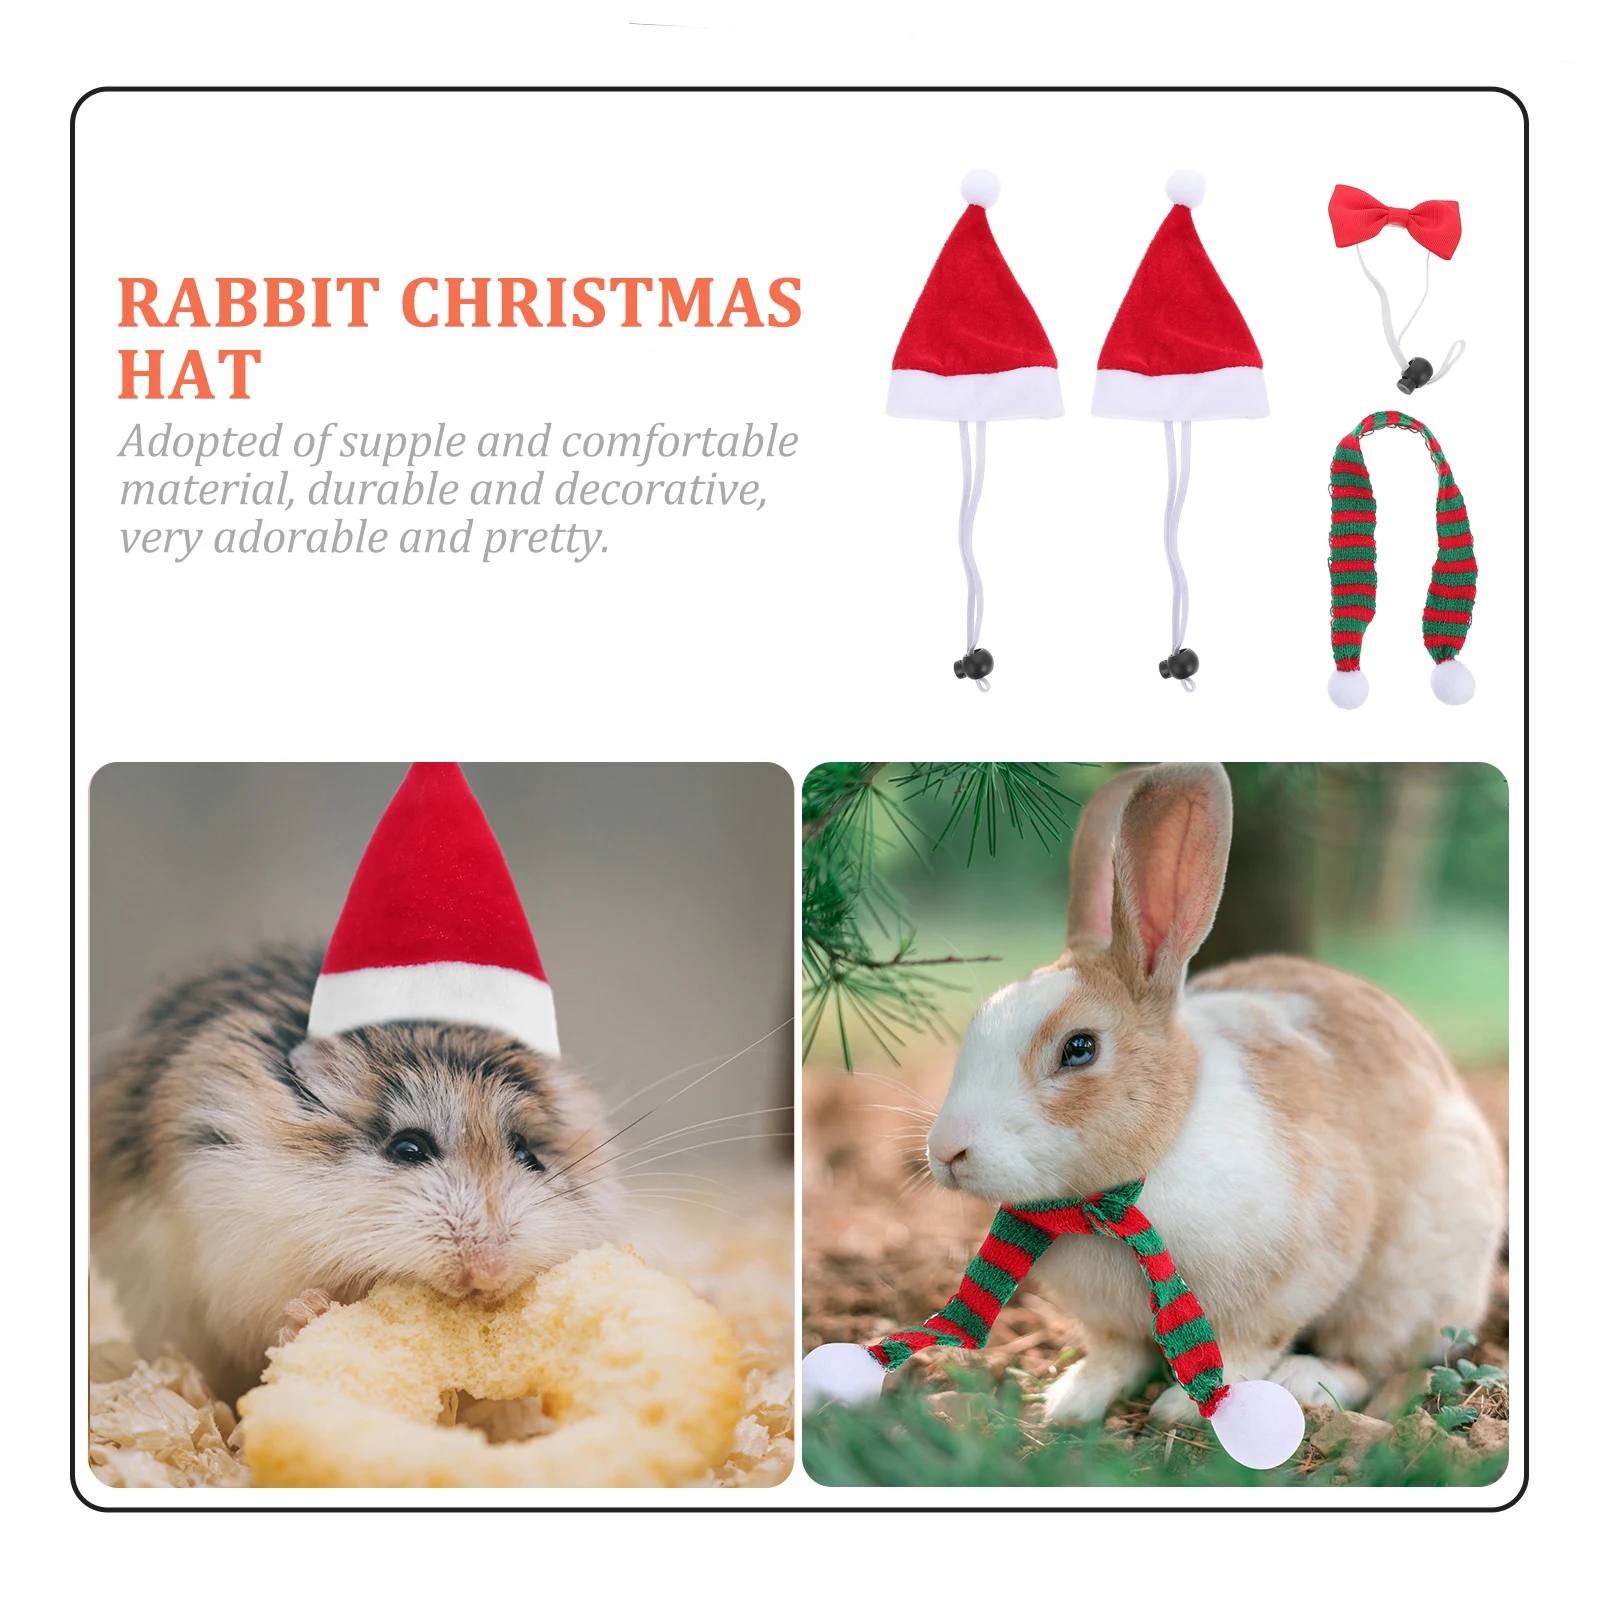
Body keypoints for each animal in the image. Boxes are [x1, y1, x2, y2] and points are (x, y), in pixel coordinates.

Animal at [925, 762, 1505, 1426]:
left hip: (1400, 1290)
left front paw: (1181, 1408)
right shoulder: (1107, 1325)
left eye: (1079, 1048)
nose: (946, 1152)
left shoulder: (1289, 1284)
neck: (1123, 1193)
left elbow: (1243, 1349)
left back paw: (1308, 1382)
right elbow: (1115, 1356)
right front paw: (1071, 1402)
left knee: (1370, 1361)